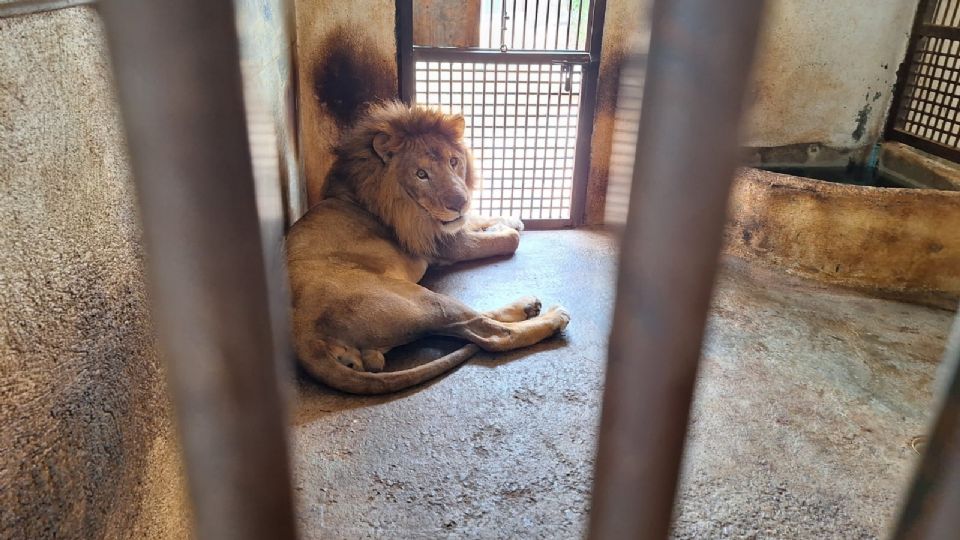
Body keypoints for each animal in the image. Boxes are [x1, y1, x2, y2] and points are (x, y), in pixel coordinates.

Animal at [286, 101, 568, 394]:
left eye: (454, 161)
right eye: (421, 175)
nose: (459, 202)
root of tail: (301, 333)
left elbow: (476, 218)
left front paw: (507, 219)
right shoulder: (446, 245)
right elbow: (509, 239)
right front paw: (503, 229)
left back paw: (527, 306)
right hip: (424, 301)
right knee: (488, 333)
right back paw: (552, 317)